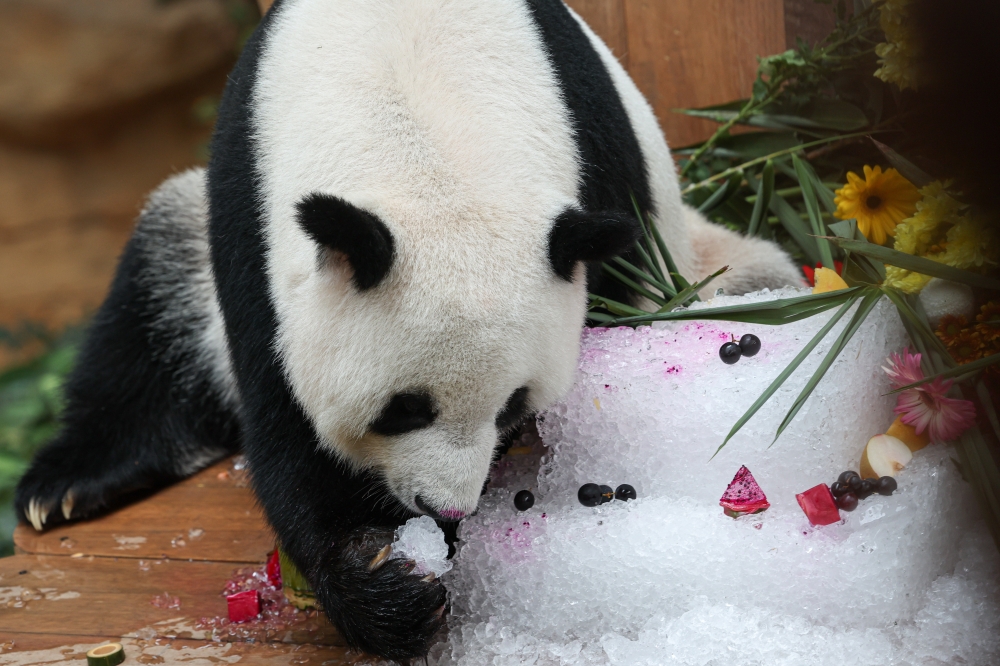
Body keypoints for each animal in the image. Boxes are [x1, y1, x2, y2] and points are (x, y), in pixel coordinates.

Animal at [16, 0, 801, 660]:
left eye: (512, 406)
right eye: (402, 409)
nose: (442, 506)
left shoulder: (598, 161)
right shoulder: (250, 214)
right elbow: (289, 422)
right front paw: (384, 586)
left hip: (711, 258)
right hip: (189, 240)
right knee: (150, 304)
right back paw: (71, 482)